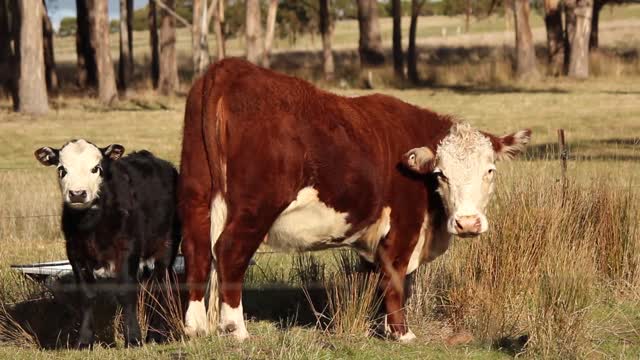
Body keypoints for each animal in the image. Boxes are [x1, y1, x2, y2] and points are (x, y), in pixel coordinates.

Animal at [178, 58, 532, 340]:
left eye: (490, 171)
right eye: (441, 174)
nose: (467, 223)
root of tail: (230, 68)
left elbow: (382, 279)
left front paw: (384, 327)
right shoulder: (404, 226)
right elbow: (395, 277)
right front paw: (402, 333)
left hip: (197, 194)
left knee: (197, 251)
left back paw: (196, 327)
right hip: (256, 207)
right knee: (229, 251)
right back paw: (235, 329)